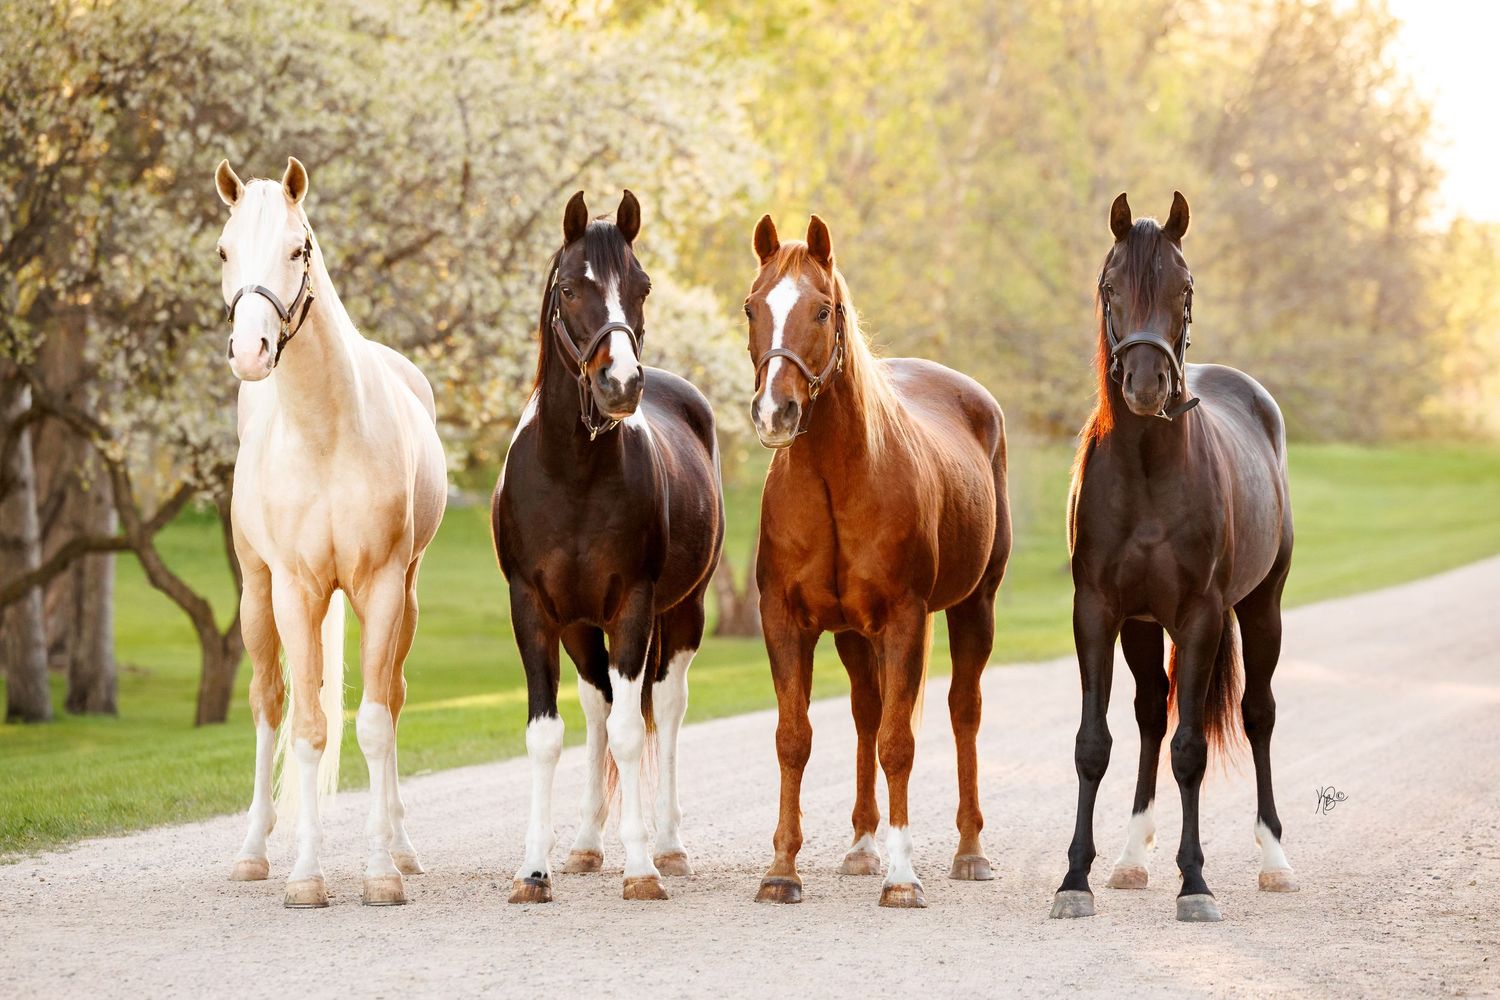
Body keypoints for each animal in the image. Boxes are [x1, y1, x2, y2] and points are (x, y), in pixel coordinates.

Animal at [215, 157, 447, 909]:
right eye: (224, 250)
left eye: (298, 249)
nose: (251, 351)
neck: (326, 432)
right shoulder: (294, 590)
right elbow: (308, 727)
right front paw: (306, 877)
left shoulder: (382, 587)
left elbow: (373, 723)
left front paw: (380, 872)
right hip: (257, 596)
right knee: (269, 706)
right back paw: (252, 852)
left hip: (406, 597)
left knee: (391, 702)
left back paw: (400, 848)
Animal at [492, 191, 724, 904]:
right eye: (570, 288)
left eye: (641, 286)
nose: (620, 383)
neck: (572, 474)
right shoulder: (535, 610)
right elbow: (548, 735)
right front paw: (533, 870)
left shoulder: (634, 606)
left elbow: (631, 730)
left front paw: (642, 867)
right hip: (578, 626)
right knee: (596, 706)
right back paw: (587, 844)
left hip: (683, 612)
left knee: (664, 711)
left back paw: (668, 844)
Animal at [745, 215, 1011, 908]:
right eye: (753, 306)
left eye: (822, 309)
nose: (775, 413)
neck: (837, 479)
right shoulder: (787, 622)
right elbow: (794, 738)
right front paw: (781, 870)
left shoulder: (903, 621)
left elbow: (899, 743)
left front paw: (903, 878)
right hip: (851, 633)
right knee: (866, 711)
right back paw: (864, 845)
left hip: (975, 607)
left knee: (963, 711)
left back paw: (969, 851)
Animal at [1050, 192, 1297, 924]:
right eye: (1110, 287)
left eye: (1183, 288)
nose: (1147, 383)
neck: (1148, 473)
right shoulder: (1099, 613)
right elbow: (1095, 742)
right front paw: (1076, 878)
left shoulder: (1200, 617)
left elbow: (1192, 749)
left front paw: (1196, 884)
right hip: (1141, 627)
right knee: (1151, 717)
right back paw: (1132, 858)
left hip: (1262, 608)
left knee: (1257, 714)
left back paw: (1275, 859)